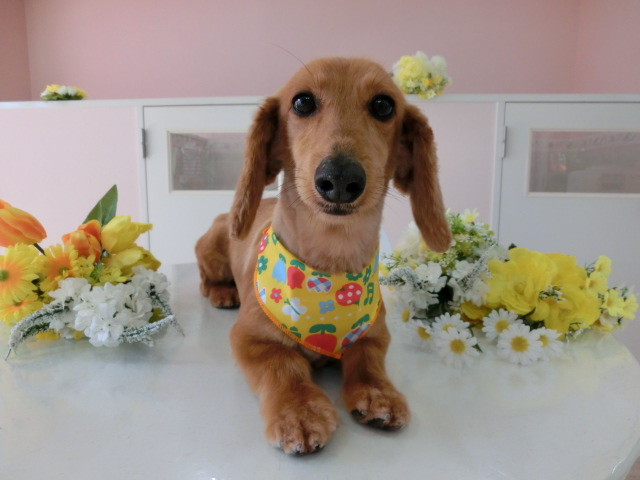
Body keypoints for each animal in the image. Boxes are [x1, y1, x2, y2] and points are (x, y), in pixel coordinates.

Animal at [195, 57, 452, 455]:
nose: (341, 178)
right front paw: (299, 411)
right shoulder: (248, 339)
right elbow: (282, 364)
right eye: (302, 102)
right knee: (204, 276)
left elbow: (367, 360)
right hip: (211, 245)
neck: (330, 270)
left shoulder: (375, 334)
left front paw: (378, 393)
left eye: (384, 105)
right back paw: (223, 292)